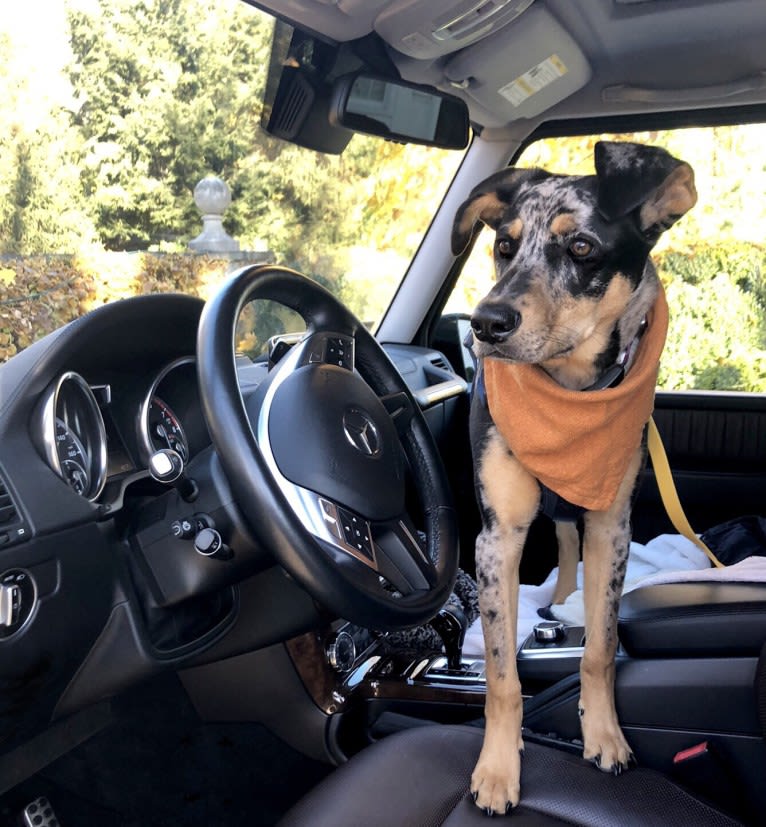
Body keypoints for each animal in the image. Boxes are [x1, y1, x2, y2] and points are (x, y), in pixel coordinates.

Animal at [452, 142, 700, 816]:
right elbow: (502, 675)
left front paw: (604, 735)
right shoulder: (498, 539)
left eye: (582, 247)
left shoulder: (612, 528)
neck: (571, 401)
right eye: (504, 245)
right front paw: (497, 770)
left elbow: (600, 649)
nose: (485, 323)